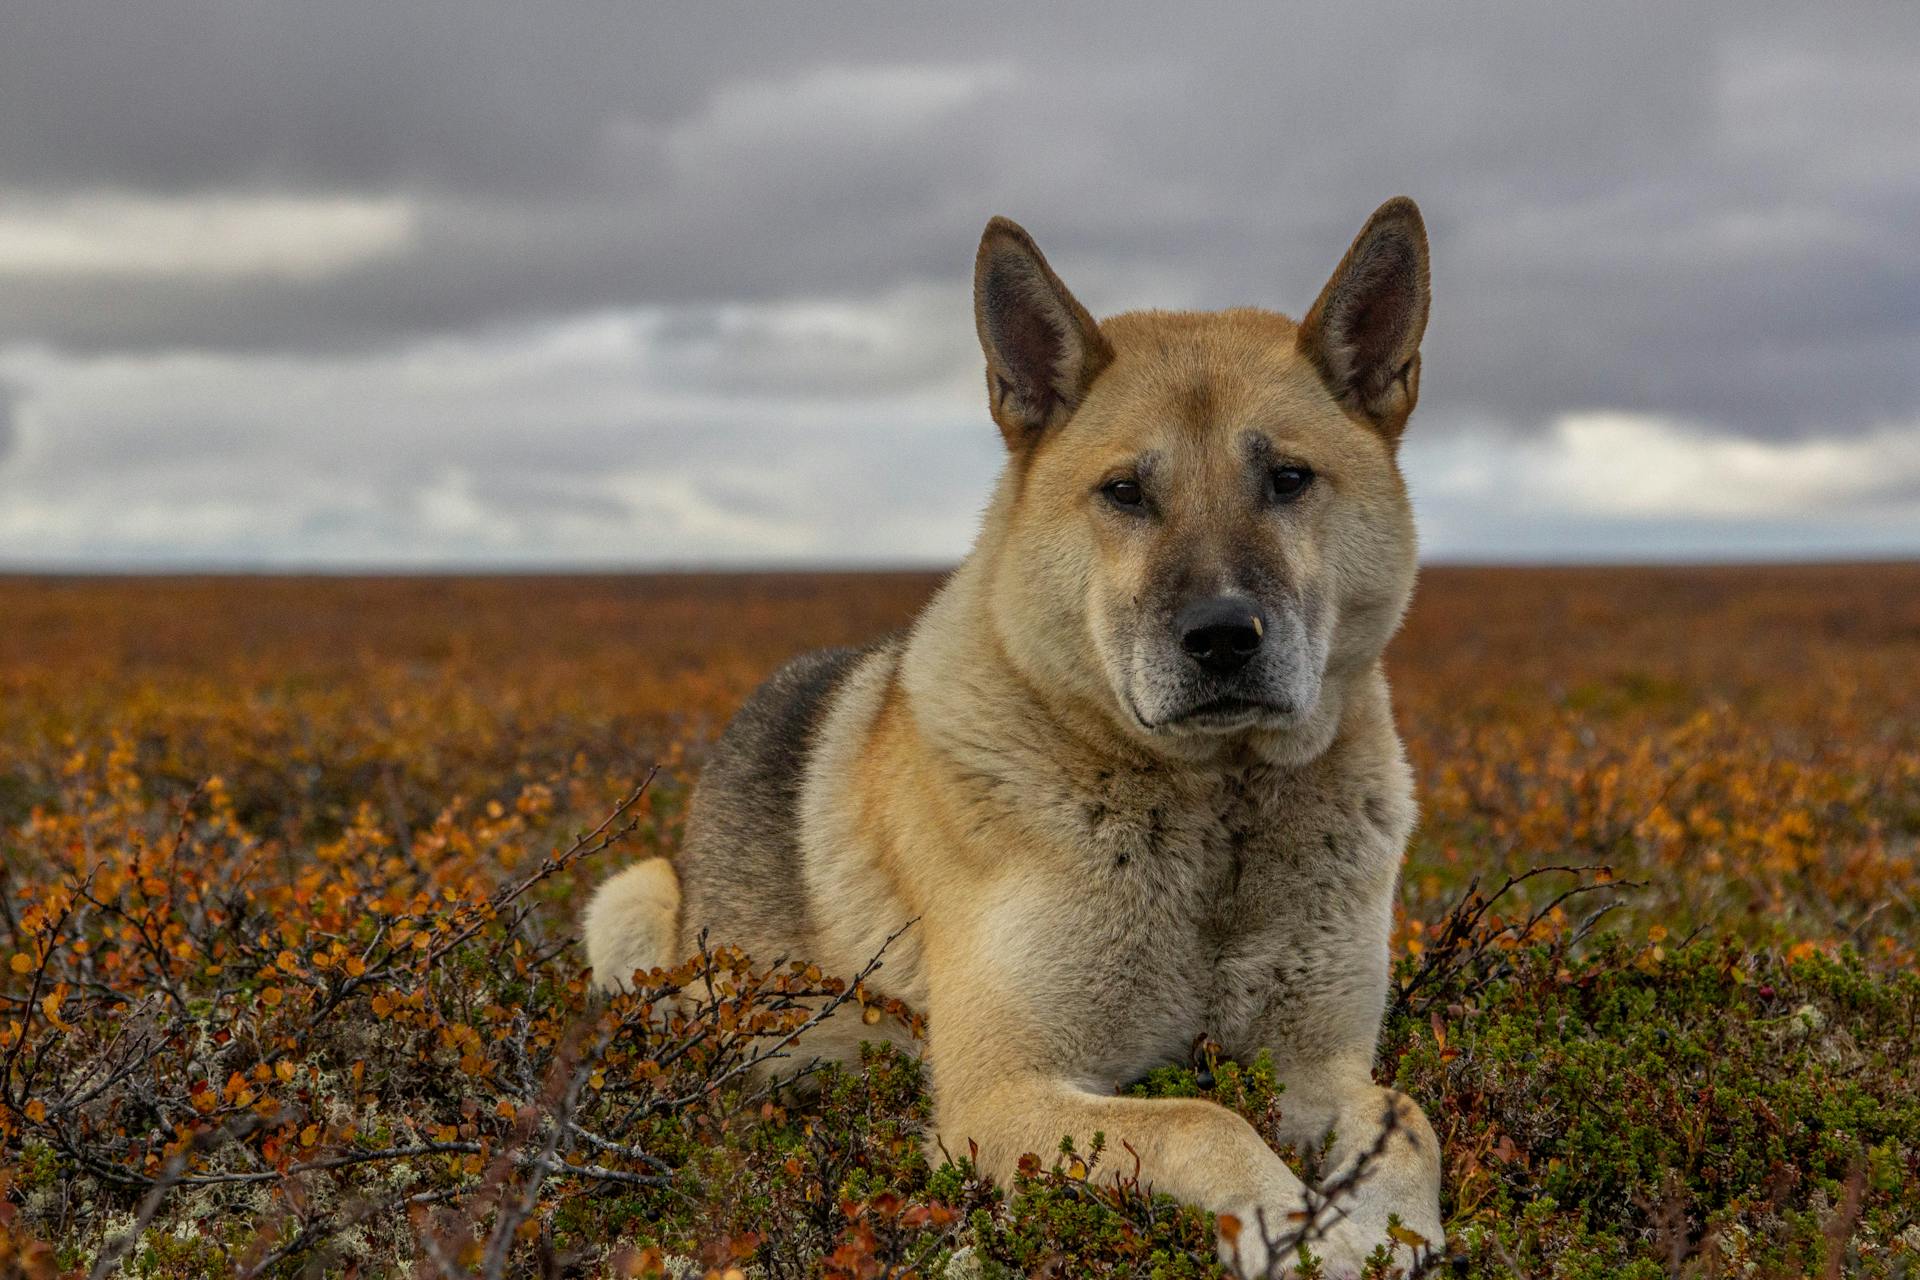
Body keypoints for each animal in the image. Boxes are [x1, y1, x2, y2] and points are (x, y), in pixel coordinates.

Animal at [583, 195, 1443, 1274]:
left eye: (1289, 478)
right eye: (1125, 492)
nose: (1222, 637)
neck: (1218, 813)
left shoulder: (1317, 1062)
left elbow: (1408, 1118)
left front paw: (1387, 1225)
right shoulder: (1003, 1096)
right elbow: (1204, 1118)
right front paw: (1299, 1233)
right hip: (628, 902)